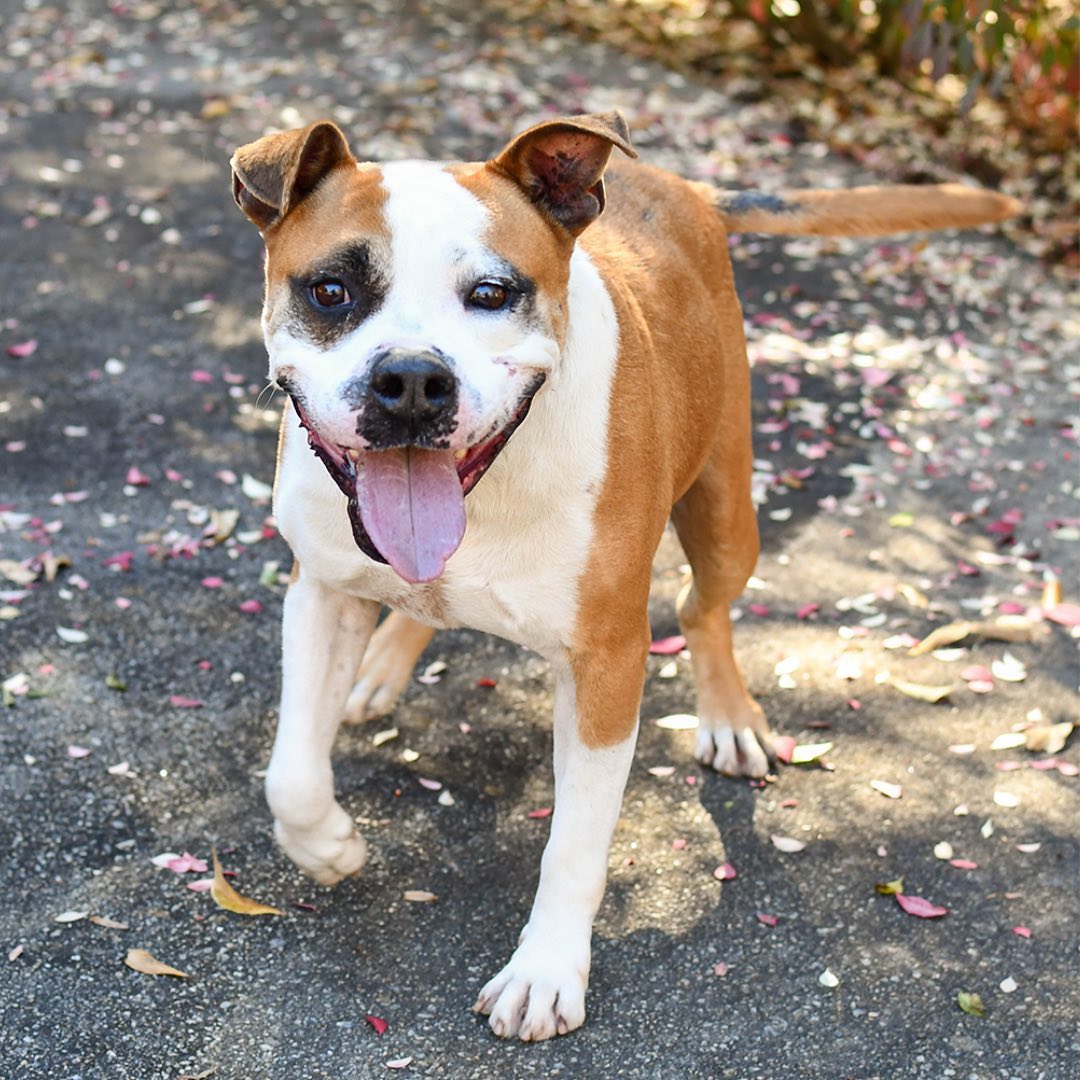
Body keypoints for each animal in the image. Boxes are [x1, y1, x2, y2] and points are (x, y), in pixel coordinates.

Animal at [230, 113, 1019, 1041]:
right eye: (331, 292)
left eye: (491, 294)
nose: (413, 380)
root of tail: (683, 186)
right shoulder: (321, 590)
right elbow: (290, 775)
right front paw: (329, 847)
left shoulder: (607, 663)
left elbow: (574, 842)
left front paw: (544, 970)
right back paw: (384, 666)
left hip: (726, 513)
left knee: (702, 605)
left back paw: (728, 720)